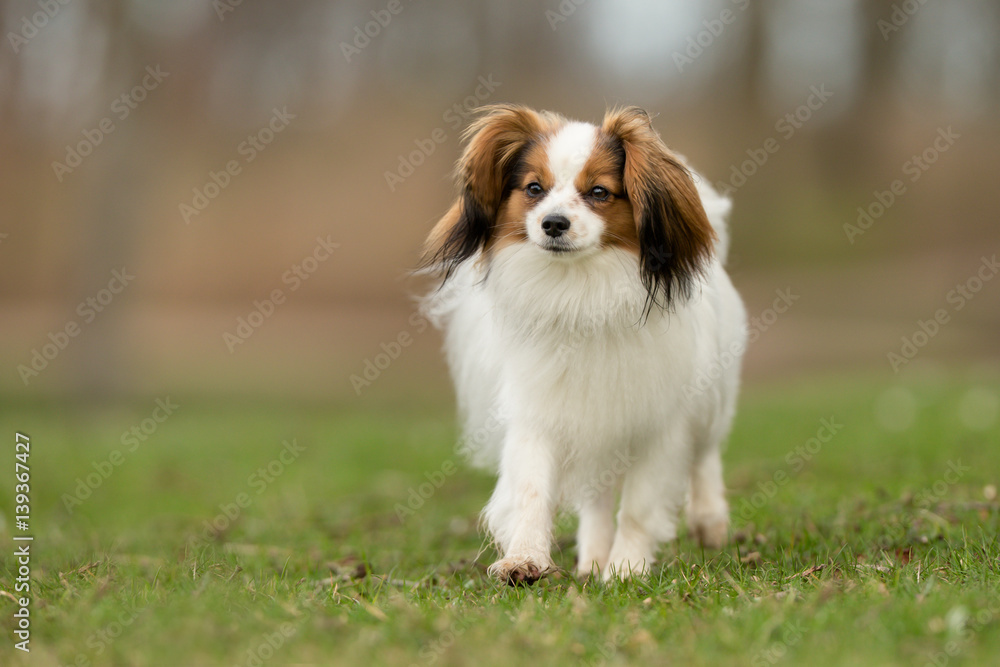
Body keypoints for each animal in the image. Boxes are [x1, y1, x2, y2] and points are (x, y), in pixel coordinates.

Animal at [420, 103, 744, 584]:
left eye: (598, 192)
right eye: (534, 189)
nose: (553, 223)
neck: (580, 288)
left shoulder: (660, 424)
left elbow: (639, 506)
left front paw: (626, 568)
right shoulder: (543, 411)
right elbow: (533, 489)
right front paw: (526, 559)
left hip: (710, 403)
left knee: (705, 457)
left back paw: (708, 522)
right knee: (596, 500)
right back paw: (591, 559)